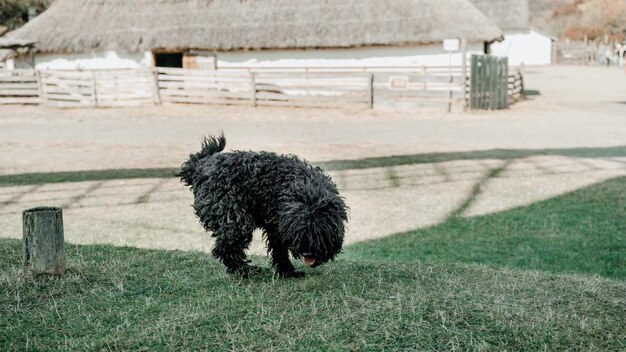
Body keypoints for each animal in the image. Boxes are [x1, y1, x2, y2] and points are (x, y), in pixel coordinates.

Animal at [178, 134, 348, 278]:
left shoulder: (277, 226)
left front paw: (287, 271)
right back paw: (244, 270)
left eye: (318, 233)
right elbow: (279, 249)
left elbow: (279, 250)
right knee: (226, 247)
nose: (307, 253)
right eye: (300, 233)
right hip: (234, 219)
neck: (309, 195)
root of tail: (201, 168)